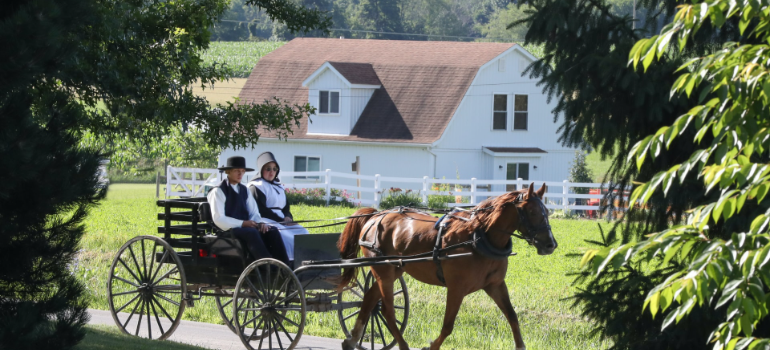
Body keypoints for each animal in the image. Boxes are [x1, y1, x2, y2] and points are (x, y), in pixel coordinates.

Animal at [334, 183, 552, 350]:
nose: (551, 244)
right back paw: (401, 345)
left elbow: (512, 316)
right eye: (532, 211)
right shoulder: (456, 288)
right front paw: (431, 346)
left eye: (547, 212)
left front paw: (520, 345)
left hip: (394, 270)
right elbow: (448, 326)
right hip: (384, 272)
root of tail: (376, 215)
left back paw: (352, 340)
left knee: (370, 298)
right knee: (388, 311)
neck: (478, 236)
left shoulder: (495, 285)